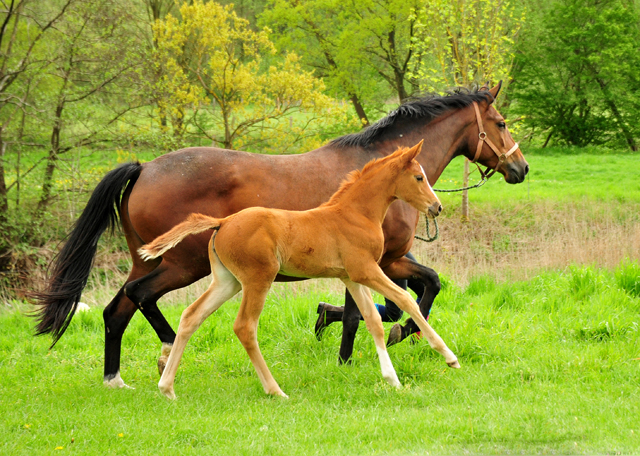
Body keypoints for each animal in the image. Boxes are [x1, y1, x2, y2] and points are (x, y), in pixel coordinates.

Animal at [140, 143, 460, 400]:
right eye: (419, 177)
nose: (437, 207)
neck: (355, 214)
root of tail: (223, 222)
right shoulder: (367, 270)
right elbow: (405, 302)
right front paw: (449, 357)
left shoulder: (351, 277)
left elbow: (373, 321)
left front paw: (391, 379)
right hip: (258, 279)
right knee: (245, 327)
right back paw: (275, 390)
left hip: (227, 282)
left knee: (191, 316)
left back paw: (167, 388)